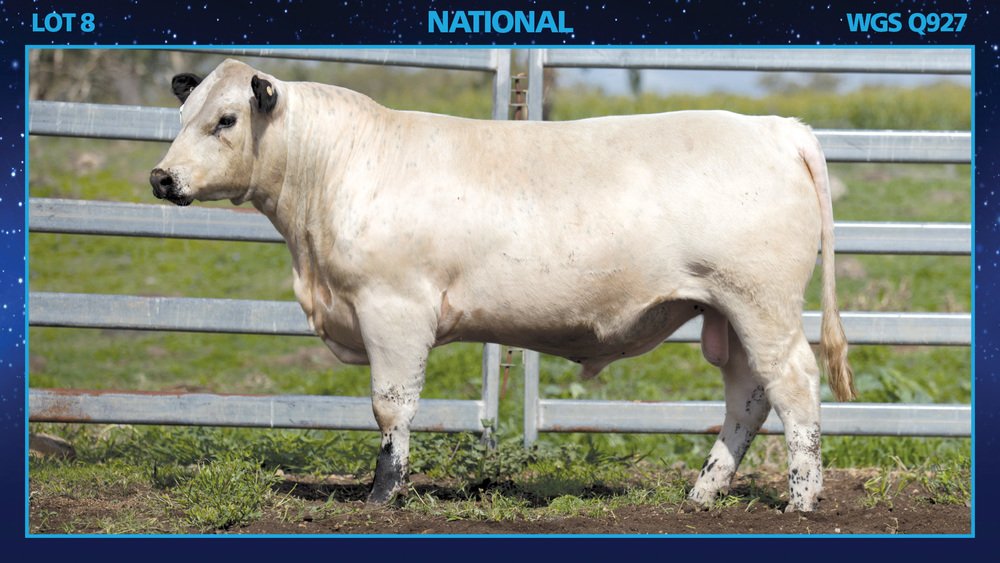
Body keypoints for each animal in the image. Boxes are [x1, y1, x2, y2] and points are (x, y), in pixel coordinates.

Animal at [150, 59, 855, 512]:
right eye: (182, 112)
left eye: (227, 119)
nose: (161, 178)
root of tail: (775, 127)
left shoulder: (394, 308)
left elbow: (391, 406)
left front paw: (383, 494)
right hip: (726, 313)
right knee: (748, 397)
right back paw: (704, 493)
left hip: (760, 301)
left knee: (794, 384)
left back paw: (801, 500)